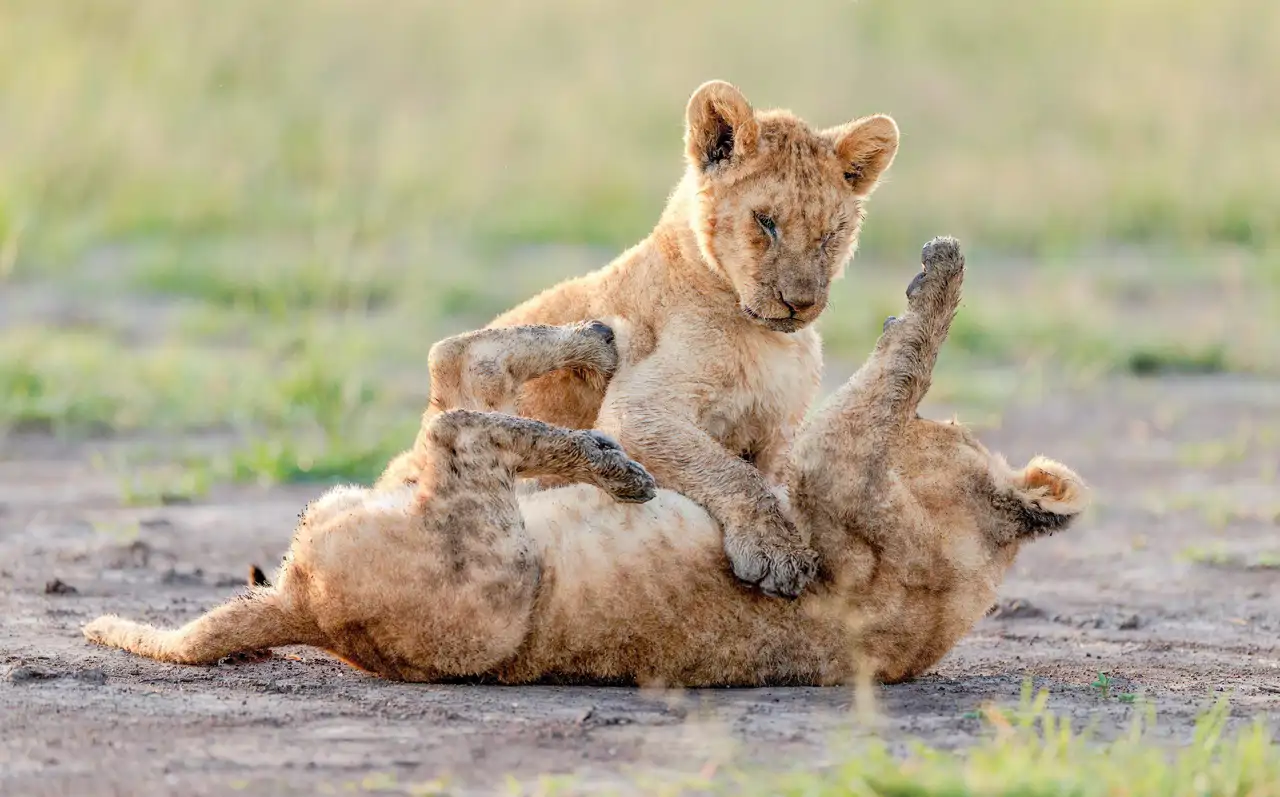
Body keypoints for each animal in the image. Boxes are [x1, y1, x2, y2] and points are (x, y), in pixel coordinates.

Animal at [83, 238, 1090, 686]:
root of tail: (303, 604)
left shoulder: (833, 473)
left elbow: (897, 372)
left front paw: (938, 278)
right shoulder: (817, 465)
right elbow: (889, 382)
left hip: (495, 565)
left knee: (463, 423)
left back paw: (610, 453)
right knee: (455, 371)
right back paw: (593, 343)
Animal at [376, 80, 901, 599]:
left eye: (831, 234)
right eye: (765, 221)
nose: (800, 303)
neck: (770, 338)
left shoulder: (779, 432)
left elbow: (774, 479)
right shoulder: (637, 411)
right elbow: (734, 472)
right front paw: (777, 552)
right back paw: (595, 349)